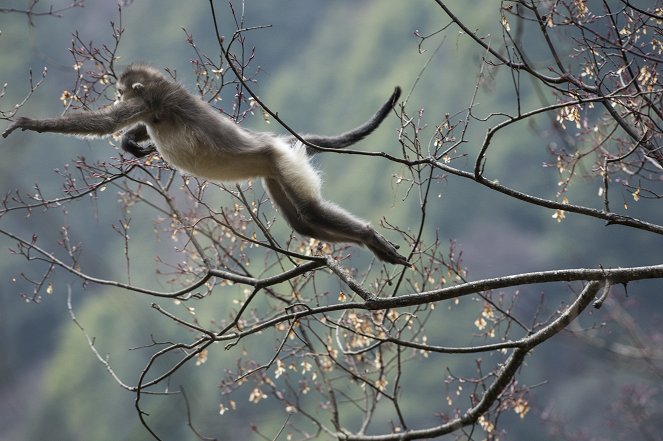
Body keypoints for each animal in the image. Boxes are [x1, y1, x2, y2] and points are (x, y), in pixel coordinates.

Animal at [2, 62, 410, 264]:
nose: (116, 96)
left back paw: (368, 236)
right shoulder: (149, 106)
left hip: (279, 160)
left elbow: (104, 123)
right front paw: (130, 140)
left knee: (309, 212)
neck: (158, 96)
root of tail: (274, 141)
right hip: (274, 168)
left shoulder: (151, 102)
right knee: (303, 222)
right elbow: (123, 127)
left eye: (119, 92)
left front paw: (30, 123)